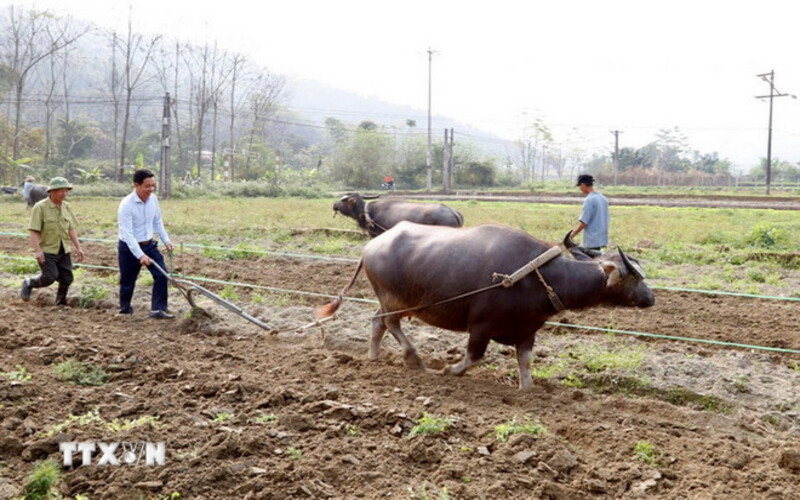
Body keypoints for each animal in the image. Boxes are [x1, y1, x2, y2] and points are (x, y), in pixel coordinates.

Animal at [316, 223, 652, 390]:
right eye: (634, 276)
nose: (651, 298)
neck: (537, 278)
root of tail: (371, 246)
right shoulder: (481, 326)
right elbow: (474, 357)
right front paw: (450, 369)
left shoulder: (527, 331)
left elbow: (525, 363)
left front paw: (525, 389)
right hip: (393, 299)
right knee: (390, 323)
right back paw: (413, 358)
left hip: (393, 300)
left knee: (378, 321)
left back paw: (373, 357)